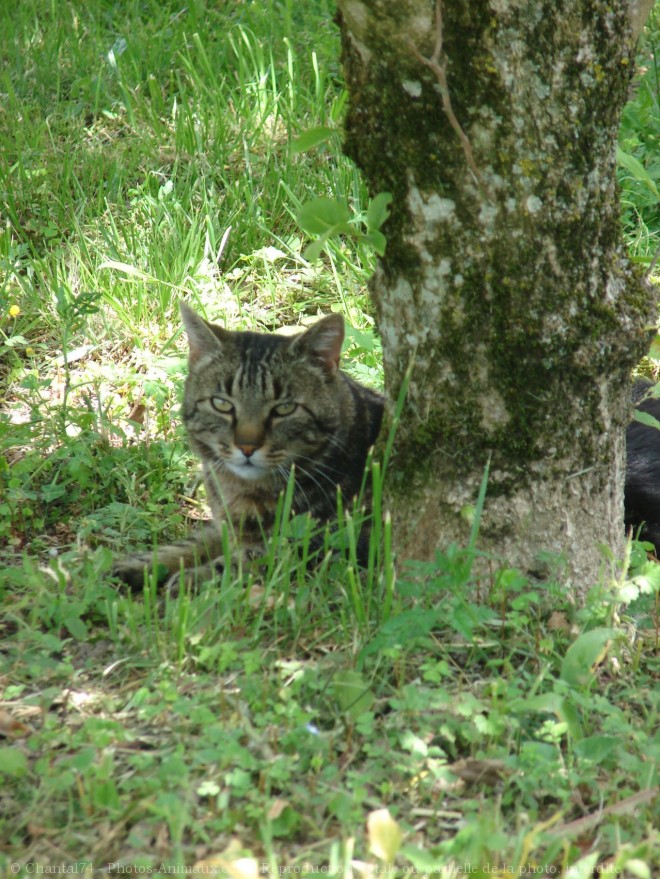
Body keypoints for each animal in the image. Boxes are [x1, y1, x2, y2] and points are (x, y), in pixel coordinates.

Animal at [111, 304, 384, 592]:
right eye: (221, 404)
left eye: (284, 408)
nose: (247, 446)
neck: (238, 489)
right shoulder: (223, 527)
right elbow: (193, 542)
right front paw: (143, 563)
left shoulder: (329, 542)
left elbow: (249, 558)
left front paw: (192, 579)